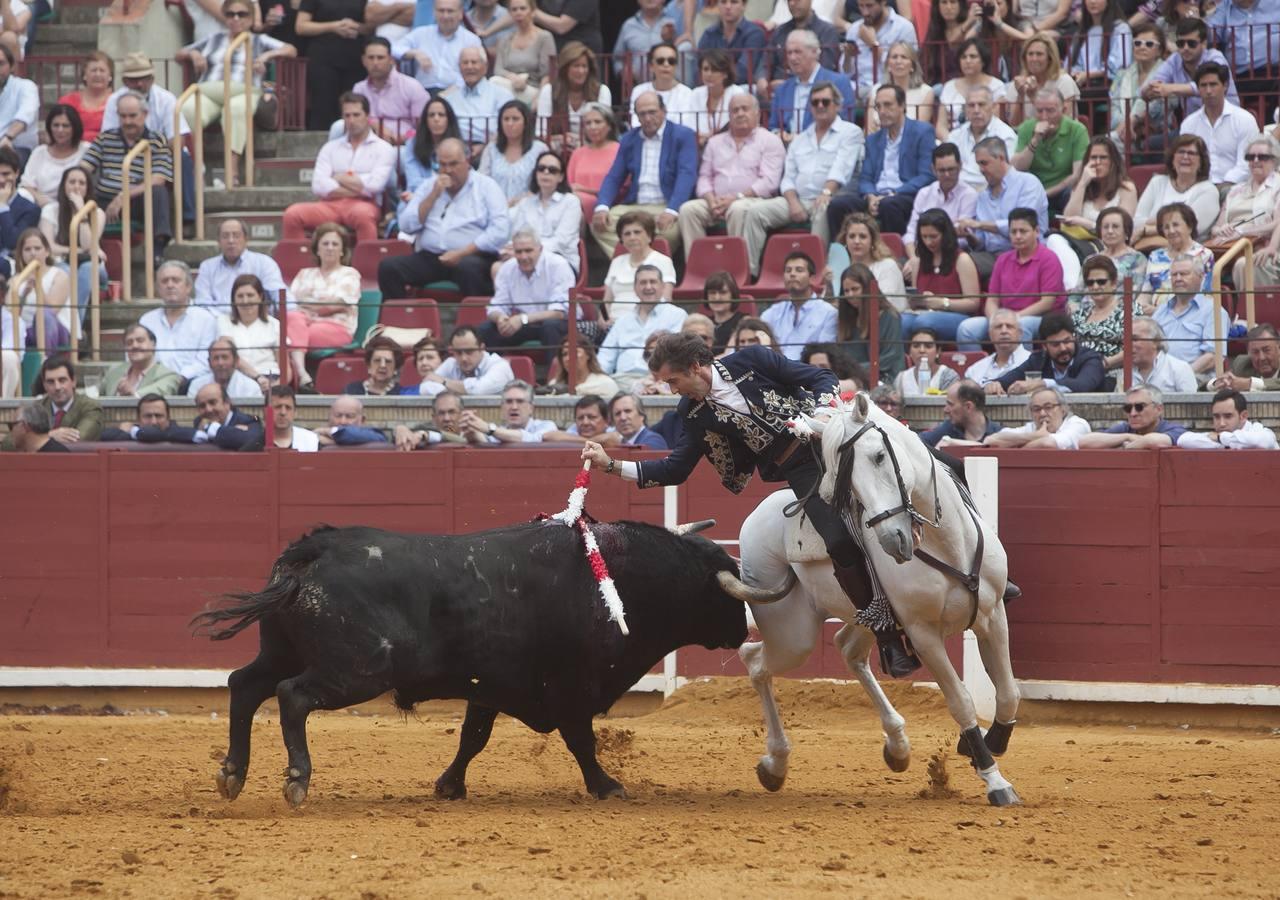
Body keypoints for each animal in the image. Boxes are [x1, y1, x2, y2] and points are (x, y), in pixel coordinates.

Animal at [186, 517, 773, 803]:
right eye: (721, 591)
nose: (744, 627)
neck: (618, 581)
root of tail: (314, 550)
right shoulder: (570, 688)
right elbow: (580, 741)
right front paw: (608, 786)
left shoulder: (489, 685)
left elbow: (473, 737)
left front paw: (449, 786)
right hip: (356, 669)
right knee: (292, 696)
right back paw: (297, 780)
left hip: (281, 651)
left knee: (244, 684)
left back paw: (232, 774)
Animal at [737, 391, 1024, 803]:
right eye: (846, 481)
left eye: (878, 456)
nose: (892, 539)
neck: (947, 544)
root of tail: (757, 516)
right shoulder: (923, 633)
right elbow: (961, 701)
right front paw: (995, 780)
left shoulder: (993, 615)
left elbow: (1008, 694)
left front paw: (987, 744)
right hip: (794, 634)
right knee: (755, 660)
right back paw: (775, 764)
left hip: (860, 618)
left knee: (847, 650)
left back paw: (897, 745)